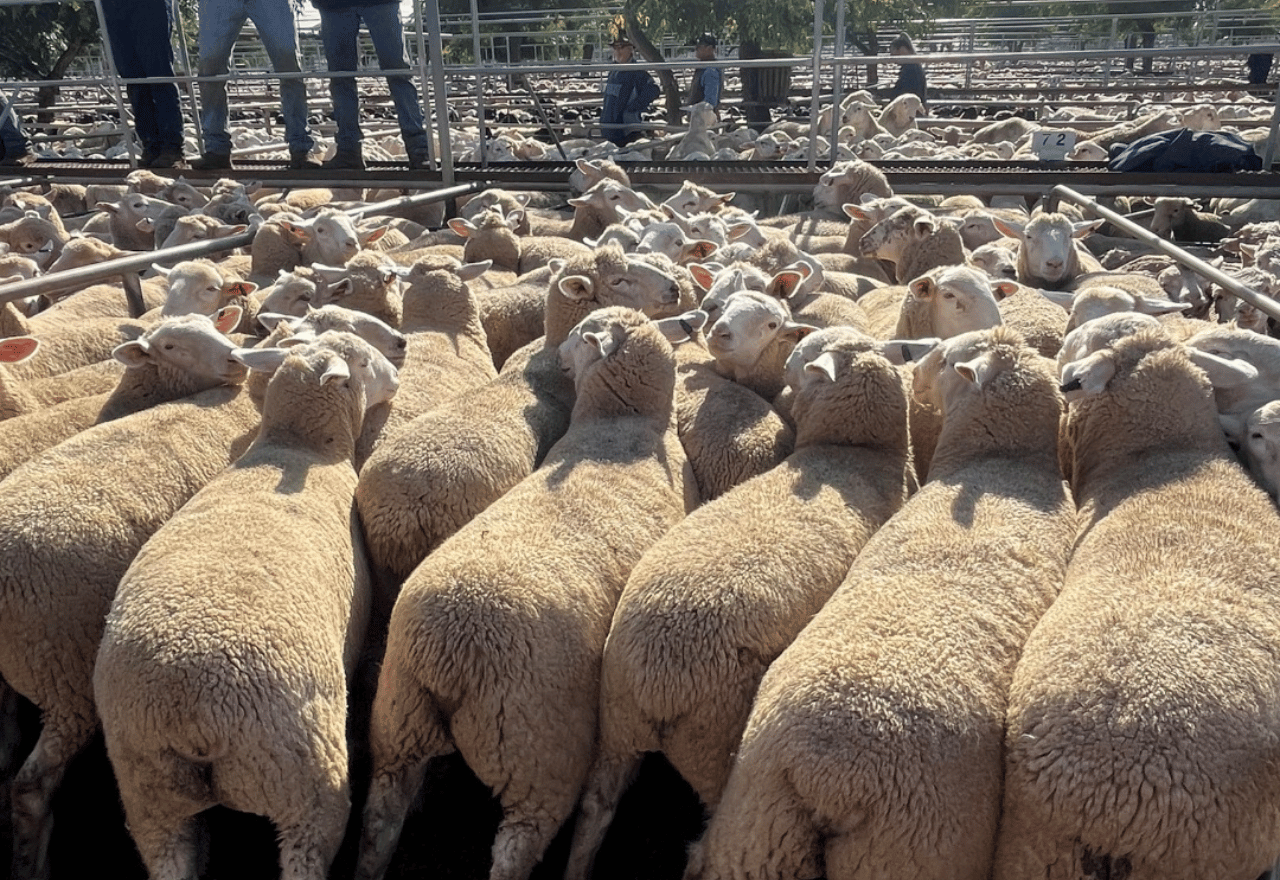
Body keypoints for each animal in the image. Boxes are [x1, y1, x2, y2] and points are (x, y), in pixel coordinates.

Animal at [93, 331, 398, 880]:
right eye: (364, 362)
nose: (398, 376)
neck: (294, 446)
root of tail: (190, 714)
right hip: (303, 782)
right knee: (308, 846)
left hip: (151, 795)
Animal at [355, 306, 692, 880]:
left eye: (579, 335)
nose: (558, 357)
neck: (623, 432)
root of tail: (451, 652)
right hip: (537, 750)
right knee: (526, 843)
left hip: (401, 717)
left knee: (381, 821)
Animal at [565, 326, 918, 880]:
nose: (787, 363)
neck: (854, 455)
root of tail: (655, 676)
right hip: (714, 743)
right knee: (705, 842)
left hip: (618, 724)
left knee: (595, 808)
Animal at [688, 325, 1077, 880]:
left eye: (948, 360)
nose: (917, 371)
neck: (1001, 465)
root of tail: (827, 774)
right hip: (845, 848)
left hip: (778, 838)